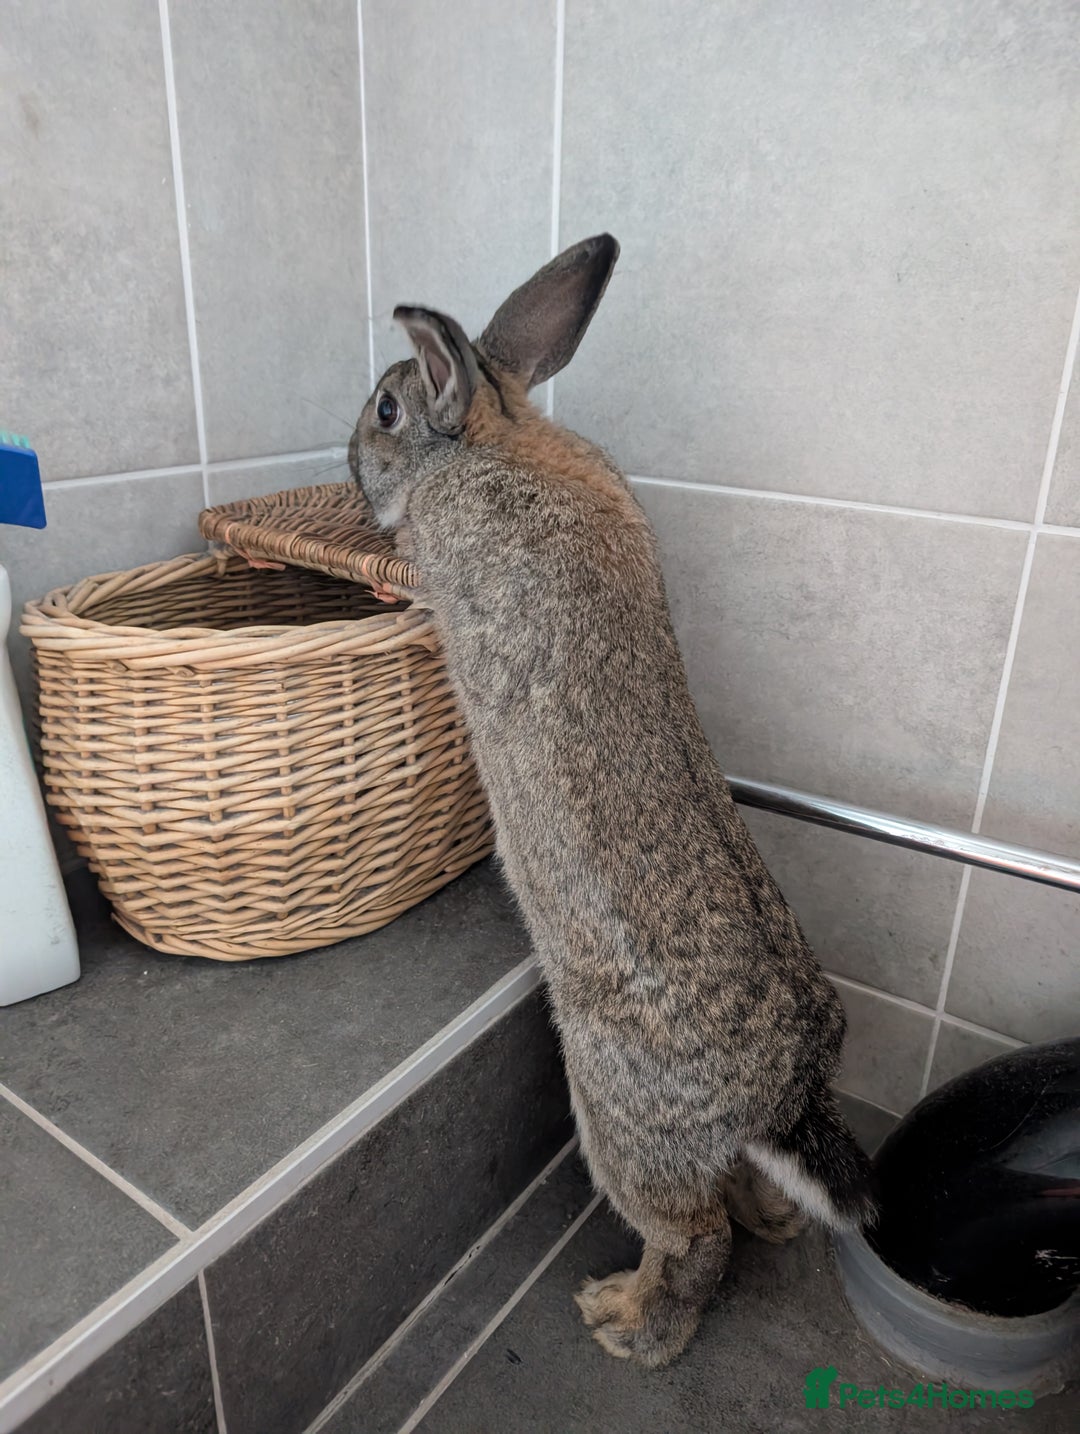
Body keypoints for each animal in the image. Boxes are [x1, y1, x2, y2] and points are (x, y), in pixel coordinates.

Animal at [348, 234, 876, 1368]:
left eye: (387, 409)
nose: (345, 469)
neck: (493, 442)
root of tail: (786, 1088)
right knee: (738, 1204)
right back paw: (762, 1227)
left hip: (615, 1118)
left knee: (695, 1240)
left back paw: (624, 1323)